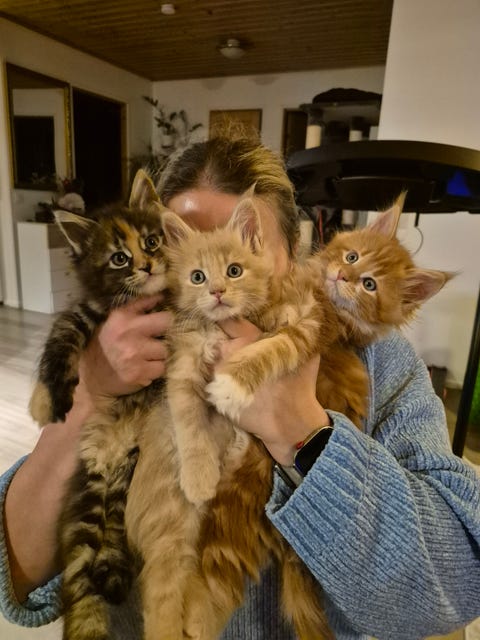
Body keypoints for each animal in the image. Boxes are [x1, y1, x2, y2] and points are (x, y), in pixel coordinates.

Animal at [29, 169, 169, 640]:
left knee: (111, 532)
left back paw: (113, 571)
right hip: (86, 497)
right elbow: (59, 341)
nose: (147, 266)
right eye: (119, 259)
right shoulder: (84, 314)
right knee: (79, 574)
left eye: (152, 242)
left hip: (124, 476)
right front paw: (47, 401)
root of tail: (106, 457)